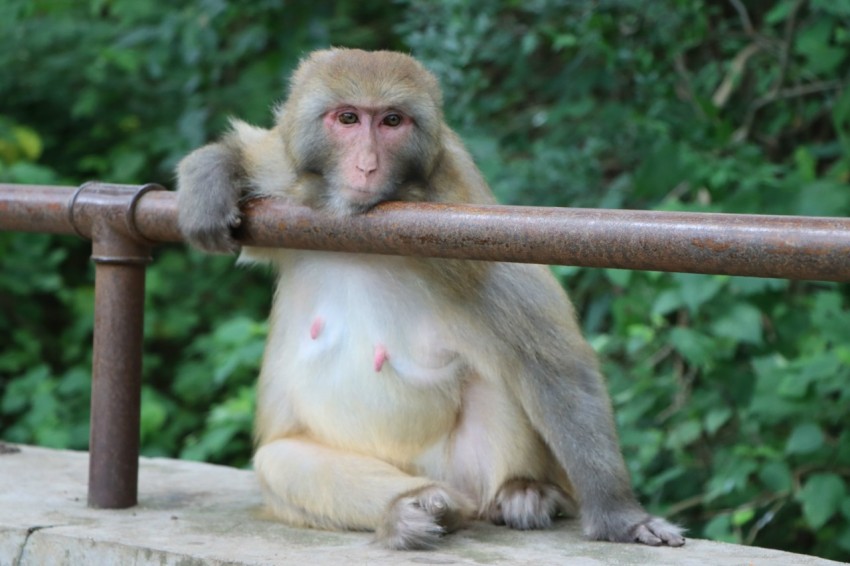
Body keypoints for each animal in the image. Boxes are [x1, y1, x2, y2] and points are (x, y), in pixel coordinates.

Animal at [176, 48, 684, 556]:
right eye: (348, 118)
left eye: (391, 121)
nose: (366, 164)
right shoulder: (287, 183)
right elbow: (259, 150)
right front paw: (209, 178)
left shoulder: (471, 230)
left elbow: (554, 363)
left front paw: (620, 516)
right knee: (280, 462)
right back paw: (413, 510)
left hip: (465, 468)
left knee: (499, 374)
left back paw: (522, 492)